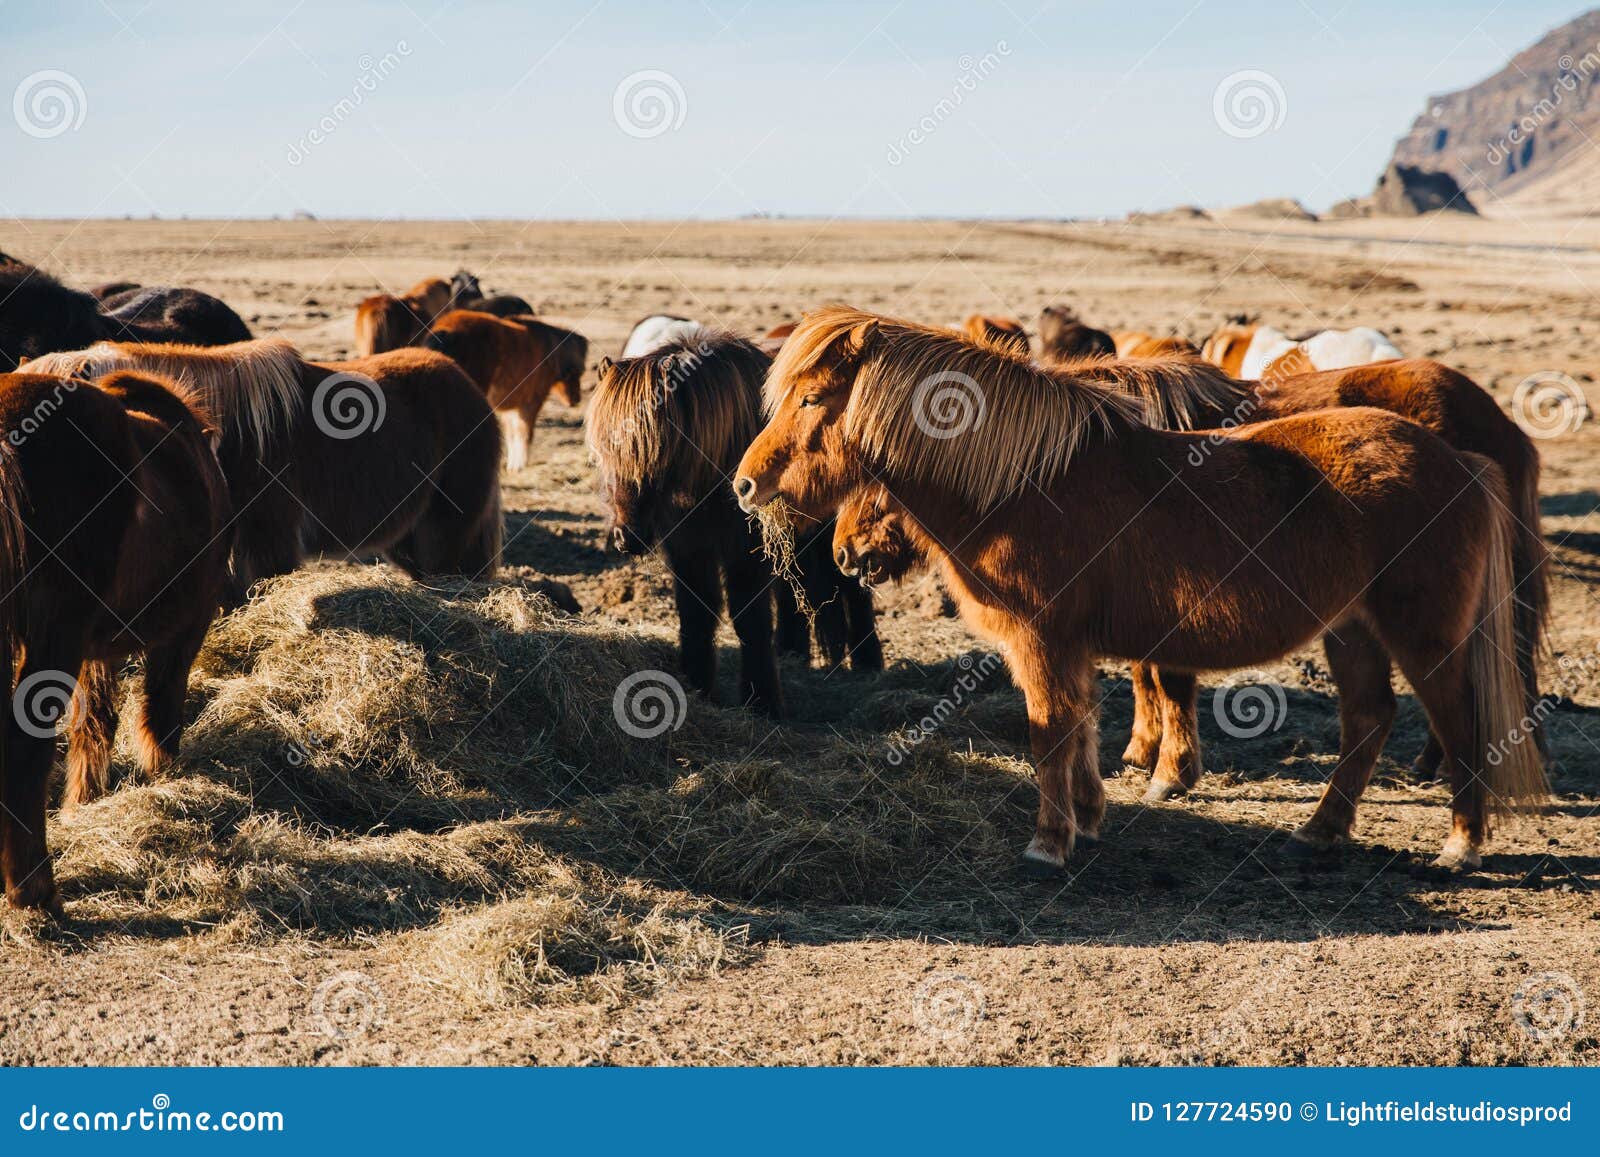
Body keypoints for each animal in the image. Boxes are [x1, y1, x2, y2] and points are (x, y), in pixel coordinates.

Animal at [0, 371, 232, 915]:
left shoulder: (94, 649)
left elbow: (93, 724)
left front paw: (83, 803)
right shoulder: (185, 630)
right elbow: (159, 713)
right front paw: (164, 778)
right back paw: (35, 891)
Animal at [425, 312, 588, 470]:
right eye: (575, 372)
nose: (576, 400)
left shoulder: (511, 408)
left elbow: (512, 436)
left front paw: (513, 465)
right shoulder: (531, 403)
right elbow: (525, 433)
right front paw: (520, 465)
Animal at [588, 329, 883, 720]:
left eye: (658, 450)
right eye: (603, 451)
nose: (626, 538)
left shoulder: (744, 552)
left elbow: (749, 619)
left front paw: (763, 701)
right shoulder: (689, 549)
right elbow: (696, 615)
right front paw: (697, 686)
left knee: (854, 589)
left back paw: (868, 662)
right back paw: (792, 651)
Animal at [732, 307, 1536, 876]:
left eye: (812, 398)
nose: (744, 484)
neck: (1027, 484)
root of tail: (1461, 459)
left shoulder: (1043, 641)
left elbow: (1050, 731)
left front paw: (1049, 843)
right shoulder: (1075, 645)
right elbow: (1083, 725)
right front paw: (1092, 816)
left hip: (1424, 637)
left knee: (1457, 720)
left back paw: (1461, 845)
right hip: (1353, 630)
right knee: (1368, 719)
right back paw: (1319, 832)